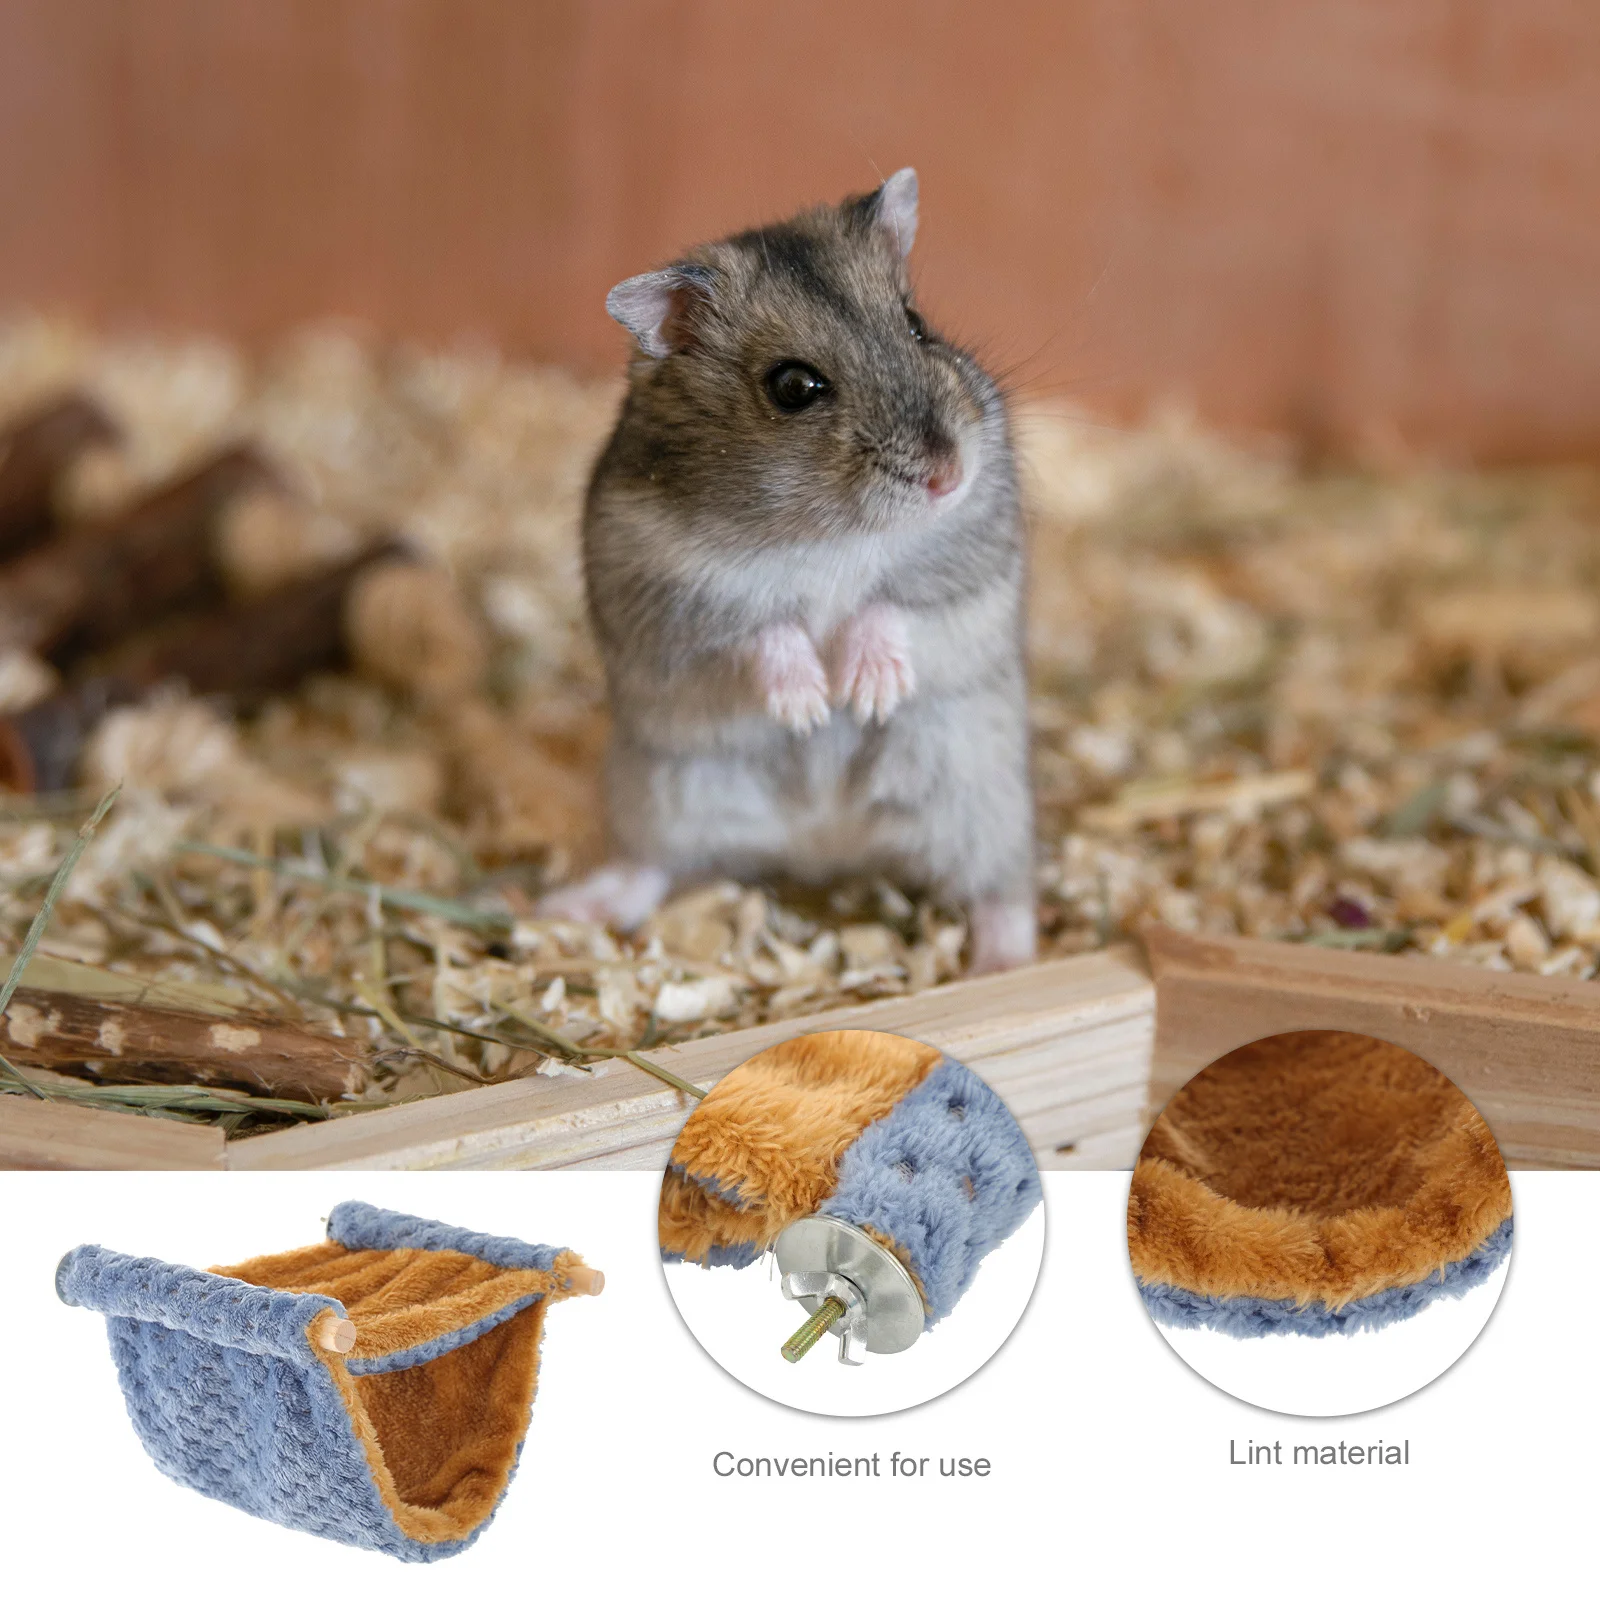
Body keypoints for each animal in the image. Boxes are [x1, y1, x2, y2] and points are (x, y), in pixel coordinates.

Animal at [539, 169, 1035, 973]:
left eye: (916, 323)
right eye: (794, 387)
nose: (948, 476)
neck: (828, 531)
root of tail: (825, 847)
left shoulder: (971, 562)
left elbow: (891, 605)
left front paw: (865, 695)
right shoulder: (670, 595)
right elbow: (761, 630)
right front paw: (808, 707)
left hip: (983, 798)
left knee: (1003, 891)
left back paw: (1004, 964)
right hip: (661, 794)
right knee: (649, 867)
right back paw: (564, 908)